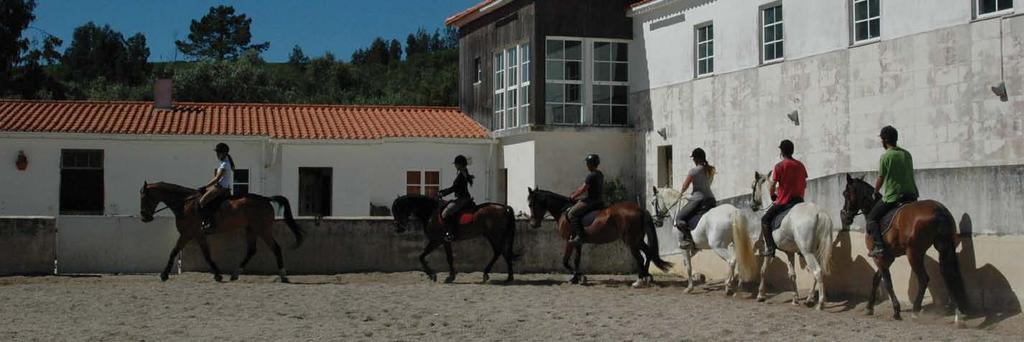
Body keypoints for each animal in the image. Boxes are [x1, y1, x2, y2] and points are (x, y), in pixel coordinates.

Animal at [139, 181, 303, 282]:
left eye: (144, 197)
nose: (144, 217)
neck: (184, 204)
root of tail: (265, 199)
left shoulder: (187, 233)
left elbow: (174, 251)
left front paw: (164, 274)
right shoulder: (198, 234)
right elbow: (206, 254)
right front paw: (217, 275)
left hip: (263, 229)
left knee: (276, 248)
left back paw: (283, 276)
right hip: (251, 229)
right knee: (251, 250)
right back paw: (235, 274)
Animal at [391, 194, 520, 282]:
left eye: (398, 210)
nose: (398, 229)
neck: (431, 212)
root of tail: (504, 208)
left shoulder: (436, 241)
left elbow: (421, 256)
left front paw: (433, 275)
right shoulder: (445, 241)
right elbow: (449, 258)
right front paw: (451, 276)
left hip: (495, 235)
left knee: (500, 252)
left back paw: (499, 276)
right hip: (491, 235)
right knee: (501, 252)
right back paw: (506, 276)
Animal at [528, 187, 671, 286]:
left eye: (530, 204)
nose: (533, 224)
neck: (564, 210)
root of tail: (640, 210)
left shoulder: (569, 241)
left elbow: (565, 261)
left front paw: (580, 277)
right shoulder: (578, 242)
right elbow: (576, 260)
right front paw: (575, 278)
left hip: (630, 241)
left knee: (640, 258)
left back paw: (639, 281)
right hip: (638, 240)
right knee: (649, 253)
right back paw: (647, 277)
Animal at [753, 172, 831, 309]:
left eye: (753, 186)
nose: (752, 206)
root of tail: (819, 212)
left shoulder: (768, 249)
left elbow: (763, 270)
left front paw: (760, 295)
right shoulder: (789, 252)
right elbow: (792, 275)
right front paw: (795, 298)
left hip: (807, 253)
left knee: (817, 271)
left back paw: (820, 303)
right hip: (815, 251)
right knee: (817, 273)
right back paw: (810, 299)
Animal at [839, 174, 966, 323]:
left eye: (845, 193)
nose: (845, 217)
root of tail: (938, 210)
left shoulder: (879, 257)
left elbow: (887, 282)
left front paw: (896, 310)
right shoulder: (888, 257)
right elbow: (876, 279)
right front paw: (869, 307)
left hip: (914, 252)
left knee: (923, 279)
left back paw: (916, 309)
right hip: (944, 247)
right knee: (948, 274)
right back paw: (956, 310)